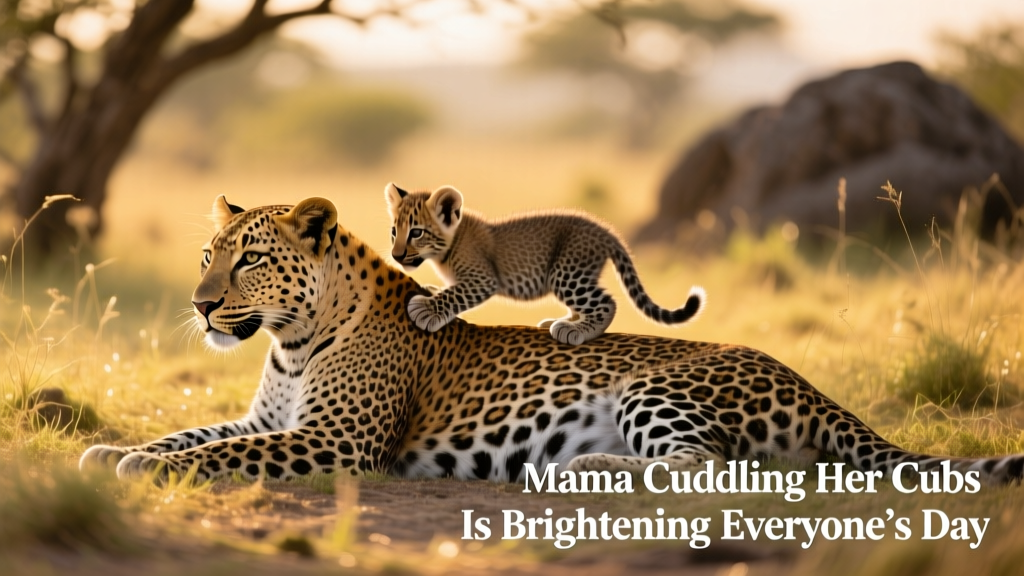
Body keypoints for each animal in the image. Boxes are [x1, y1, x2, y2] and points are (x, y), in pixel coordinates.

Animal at [384, 182, 705, 346]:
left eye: (416, 232)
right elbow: (447, 289)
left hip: (567, 271)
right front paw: (428, 290)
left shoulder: (482, 278)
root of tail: (605, 230)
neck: (447, 248)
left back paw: (575, 331)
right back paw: (562, 321)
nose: (397, 256)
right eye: (394, 231)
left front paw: (426, 310)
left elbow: (455, 294)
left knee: (606, 303)